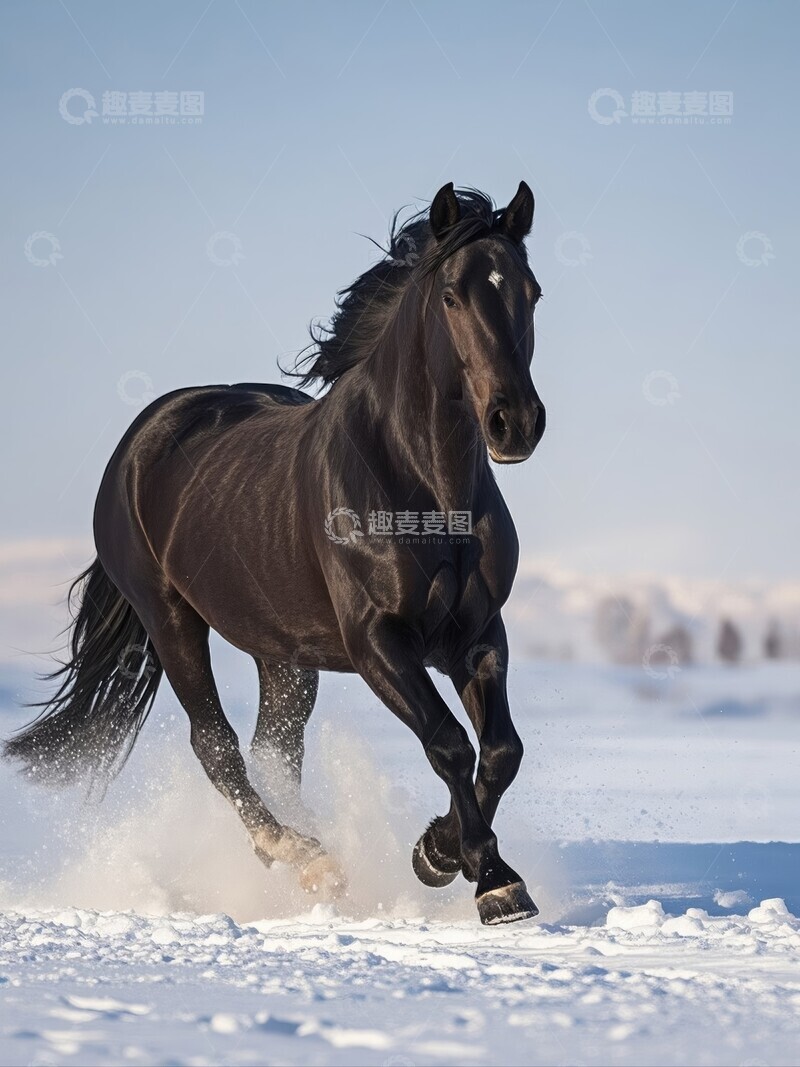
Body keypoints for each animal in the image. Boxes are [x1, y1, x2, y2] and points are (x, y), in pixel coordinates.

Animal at [5, 181, 546, 925]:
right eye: (451, 297)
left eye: (532, 291)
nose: (514, 423)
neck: (426, 493)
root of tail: (143, 437)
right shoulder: (379, 643)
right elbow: (448, 742)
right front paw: (485, 875)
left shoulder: (478, 634)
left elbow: (500, 750)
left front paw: (447, 857)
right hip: (171, 620)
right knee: (217, 744)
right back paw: (304, 856)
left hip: (282, 651)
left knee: (274, 749)